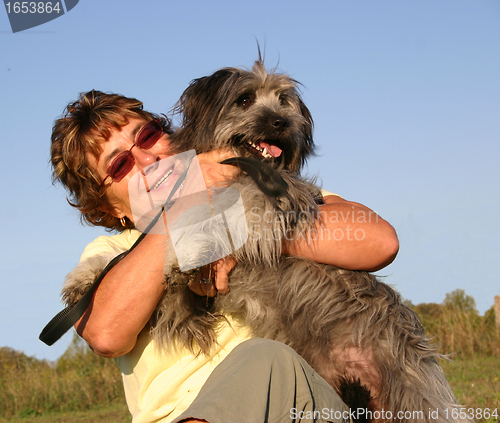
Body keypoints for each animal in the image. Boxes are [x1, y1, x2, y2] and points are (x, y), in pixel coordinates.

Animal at [62, 59, 468, 423]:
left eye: (284, 101)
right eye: (244, 100)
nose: (281, 122)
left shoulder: (278, 199)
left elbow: (224, 215)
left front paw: (187, 251)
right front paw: (85, 277)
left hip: (411, 396)